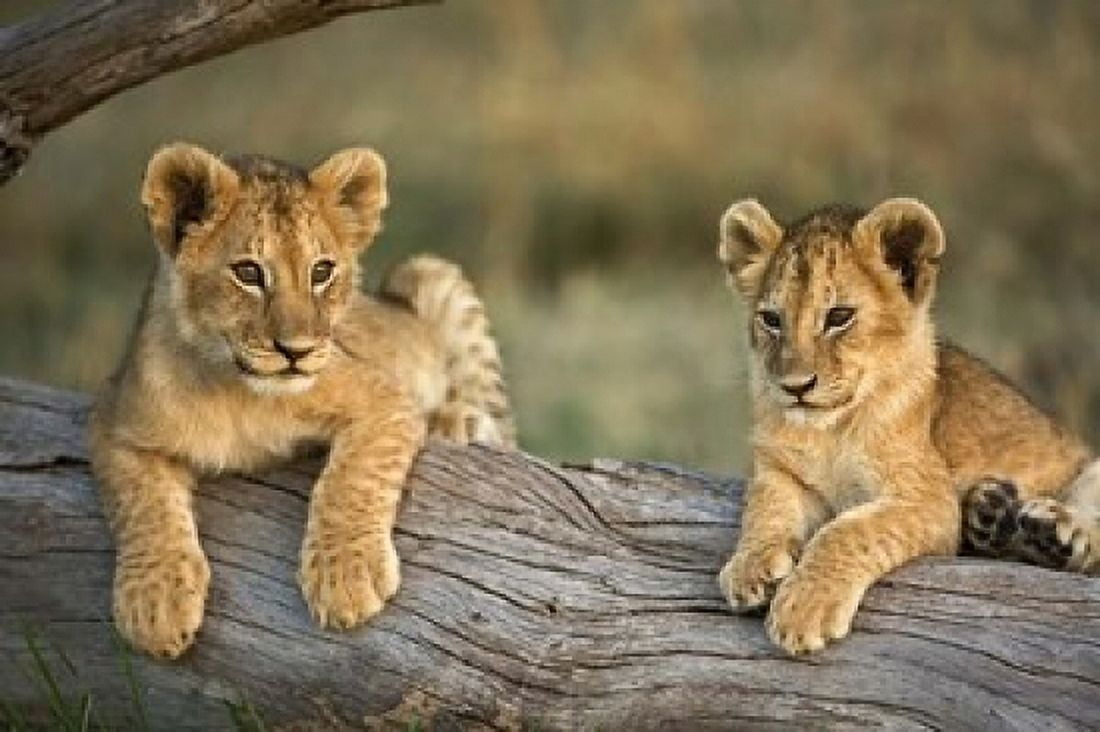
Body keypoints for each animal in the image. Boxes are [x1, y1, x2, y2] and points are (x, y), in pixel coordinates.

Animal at [88, 143, 515, 658]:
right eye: (248, 272)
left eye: (322, 272)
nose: (298, 351)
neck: (235, 390)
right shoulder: (114, 419)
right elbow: (142, 504)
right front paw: (155, 606)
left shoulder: (383, 398)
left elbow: (352, 479)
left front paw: (346, 577)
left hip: (427, 274)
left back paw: (460, 424)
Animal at [714, 197, 1099, 655]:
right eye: (771, 320)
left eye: (839, 316)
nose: (795, 387)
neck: (827, 430)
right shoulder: (779, 470)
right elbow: (763, 507)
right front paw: (748, 568)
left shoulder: (928, 500)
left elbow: (846, 530)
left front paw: (802, 610)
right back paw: (991, 515)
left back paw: (1052, 531)